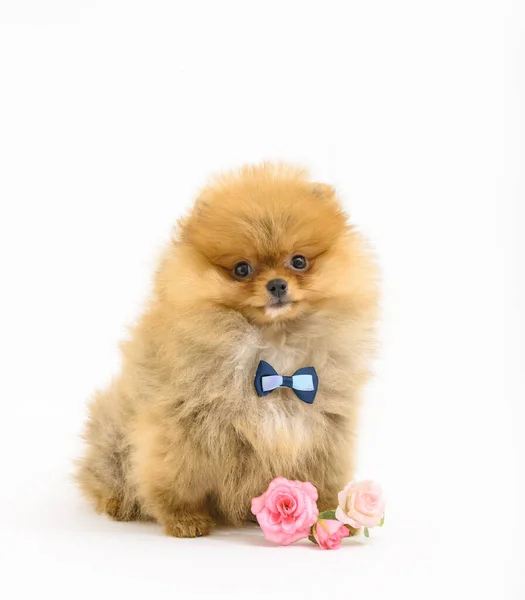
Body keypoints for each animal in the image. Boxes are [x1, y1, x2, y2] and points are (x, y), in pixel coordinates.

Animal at [77, 164, 376, 540]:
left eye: (299, 261)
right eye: (242, 269)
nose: (277, 285)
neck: (274, 347)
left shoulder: (324, 429)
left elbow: (321, 478)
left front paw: (330, 517)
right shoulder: (184, 427)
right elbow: (176, 480)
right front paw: (184, 519)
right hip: (113, 436)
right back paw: (119, 503)